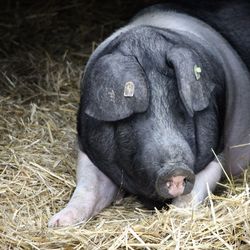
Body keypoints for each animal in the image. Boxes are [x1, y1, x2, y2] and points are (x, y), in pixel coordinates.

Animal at [48, 0, 250, 227]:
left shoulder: (218, 149)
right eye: (134, 116)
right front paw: (56, 224)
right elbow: (88, 188)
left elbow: (193, 193)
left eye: (183, 111)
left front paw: (177, 217)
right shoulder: (88, 146)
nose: (175, 170)